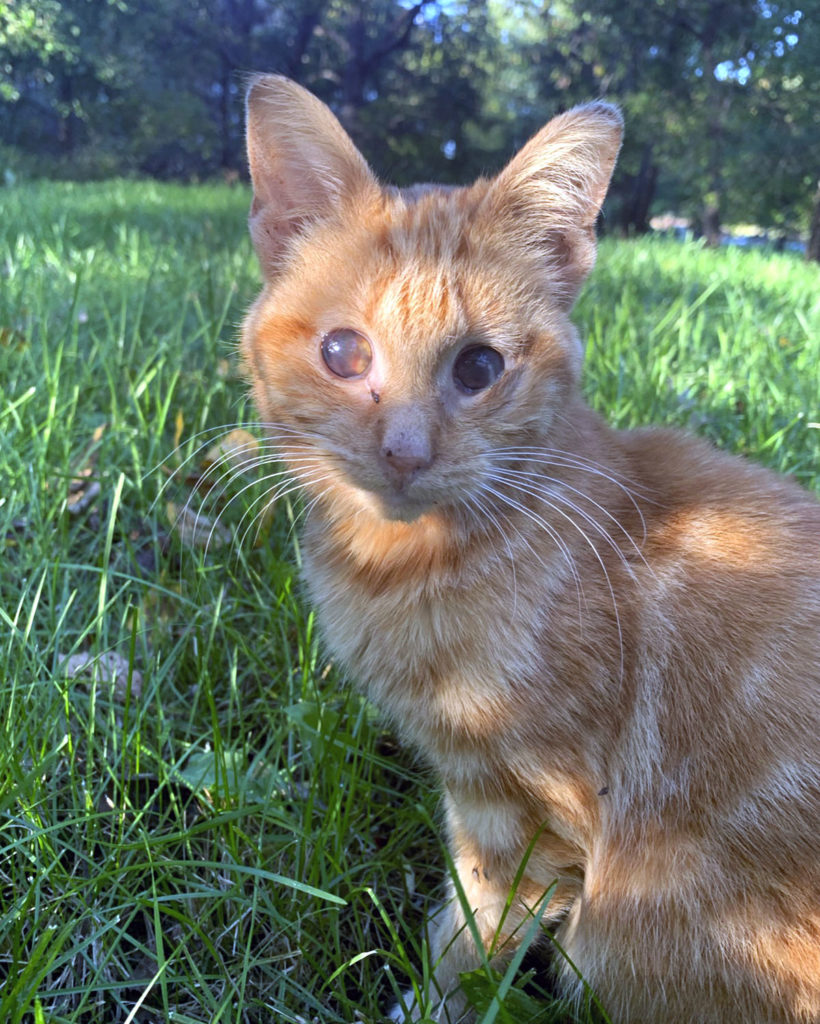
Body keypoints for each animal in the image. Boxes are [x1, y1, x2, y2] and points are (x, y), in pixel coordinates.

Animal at [239, 75, 814, 1019]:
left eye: (478, 368)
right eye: (342, 351)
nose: (405, 451)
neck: (408, 565)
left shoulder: (527, 816)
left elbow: (471, 937)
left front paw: (425, 1005)